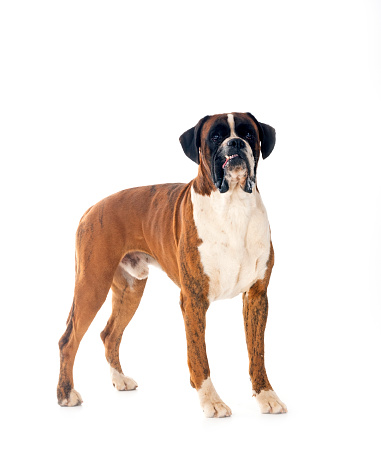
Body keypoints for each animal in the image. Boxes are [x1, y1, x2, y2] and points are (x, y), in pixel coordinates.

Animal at [58, 111, 286, 416]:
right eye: (215, 136)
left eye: (249, 134)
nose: (235, 143)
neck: (233, 204)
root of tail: (92, 208)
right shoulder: (194, 300)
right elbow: (199, 354)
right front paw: (211, 400)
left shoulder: (256, 297)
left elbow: (257, 353)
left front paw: (266, 396)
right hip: (92, 285)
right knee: (68, 340)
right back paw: (66, 395)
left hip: (130, 289)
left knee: (109, 334)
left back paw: (120, 380)